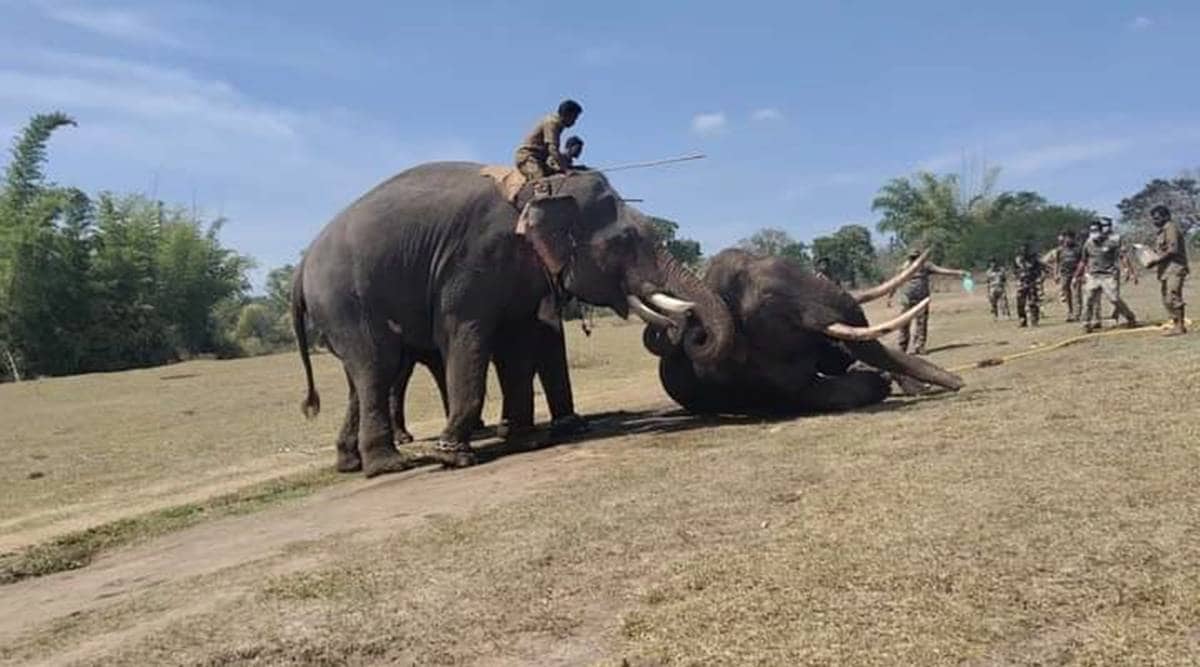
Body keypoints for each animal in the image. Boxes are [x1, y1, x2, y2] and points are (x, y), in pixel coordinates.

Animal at [292, 162, 734, 476]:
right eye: (624, 241)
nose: (691, 331)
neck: (541, 189)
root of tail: (303, 264)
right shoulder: (474, 261)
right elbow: (467, 334)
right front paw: (454, 457)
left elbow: (518, 340)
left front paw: (525, 442)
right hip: (344, 300)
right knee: (379, 364)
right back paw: (390, 465)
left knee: (365, 374)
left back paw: (351, 463)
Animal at [642, 248, 964, 415]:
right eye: (769, 300)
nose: (960, 383)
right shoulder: (751, 377)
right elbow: (816, 393)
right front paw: (878, 382)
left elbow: (842, 356)